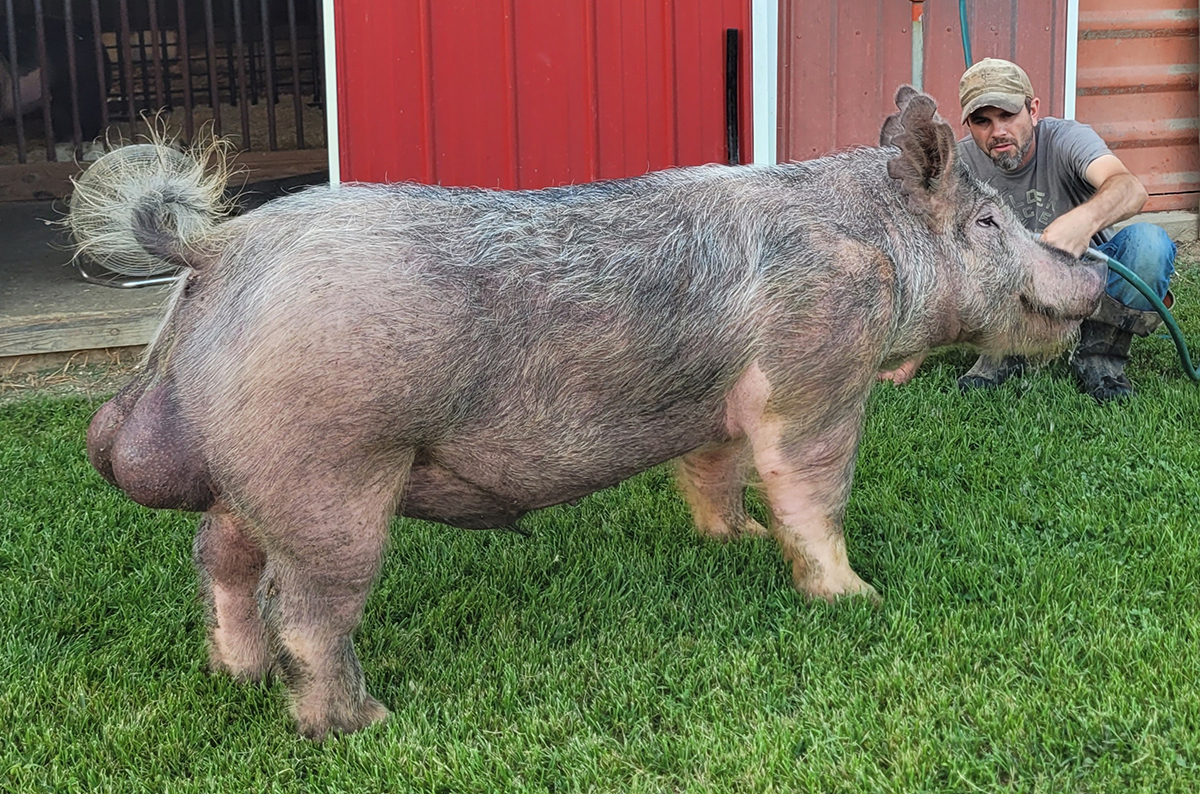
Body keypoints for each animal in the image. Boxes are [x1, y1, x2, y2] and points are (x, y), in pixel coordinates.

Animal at [78, 87, 1106, 739]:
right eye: (988, 224)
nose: (1094, 272)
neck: (875, 251)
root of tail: (215, 251)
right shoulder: (816, 373)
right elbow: (814, 489)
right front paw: (858, 599)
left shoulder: (717, 407)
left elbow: (717, 469)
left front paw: (731, 541)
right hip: (328, 472)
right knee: (307, 614)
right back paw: (363, 723)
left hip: (243, 473)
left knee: (219, 561)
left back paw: (236, 673)